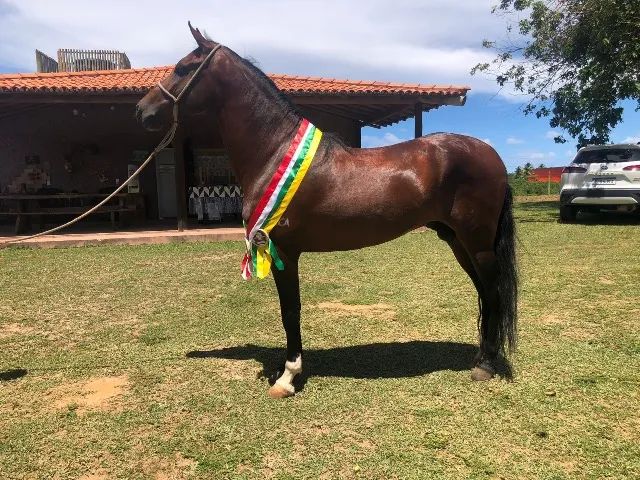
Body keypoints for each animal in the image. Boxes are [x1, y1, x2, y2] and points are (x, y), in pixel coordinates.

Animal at [136, 23, 518, 398]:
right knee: (485, 293)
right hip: (457, 240)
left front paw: (288, 377)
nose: (141, 110)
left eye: (183, 67)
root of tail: (493, 156)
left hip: (477, 243)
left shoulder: (283, 251)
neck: (273, 150)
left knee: (493, 292)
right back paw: (481, 357)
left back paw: (485, 365)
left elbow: (290, 311)